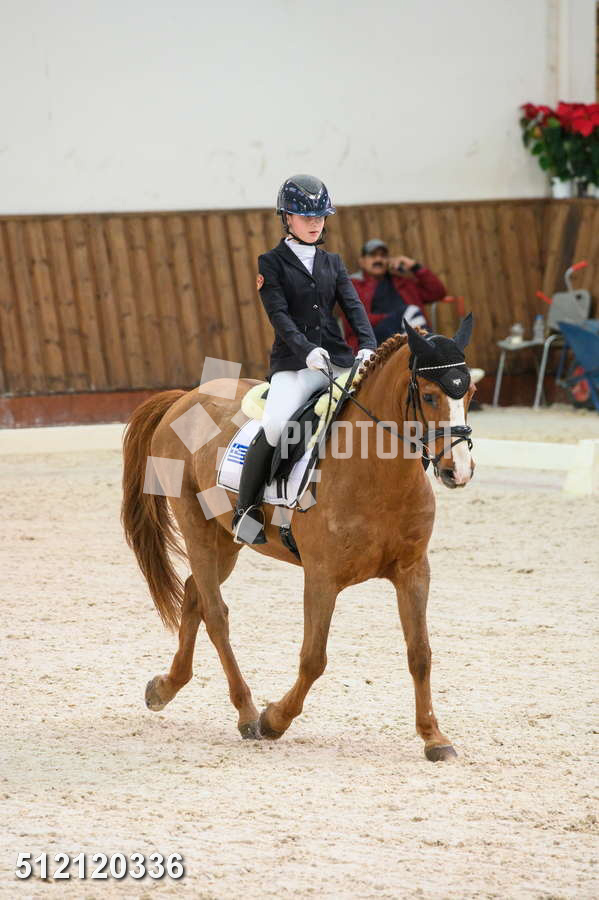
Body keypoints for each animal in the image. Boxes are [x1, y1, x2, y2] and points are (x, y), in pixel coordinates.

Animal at [121, 319, 476, 761]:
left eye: (470, 393)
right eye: (429, 395)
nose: (458, 471)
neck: (377, 474)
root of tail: (183, 398)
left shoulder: (413, 572)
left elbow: (420, 654)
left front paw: (434, 737)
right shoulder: (321, 577)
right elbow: (313, 658)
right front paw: (274, 719)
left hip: (225, 540)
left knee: (193, 596)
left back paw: (164, 688)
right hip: (195, 526)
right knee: (216, 615)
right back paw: (246, 713)